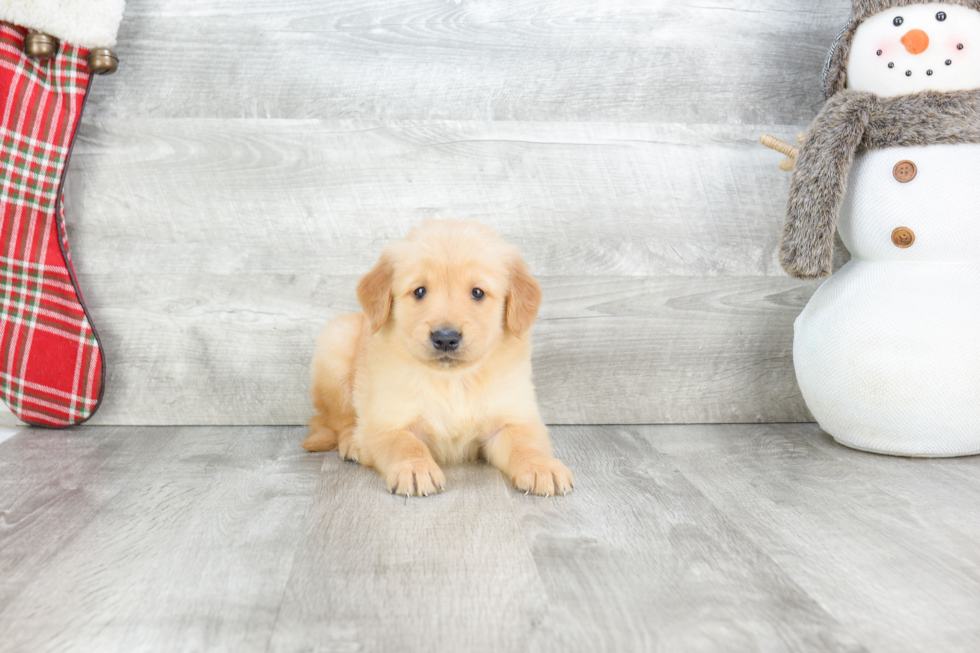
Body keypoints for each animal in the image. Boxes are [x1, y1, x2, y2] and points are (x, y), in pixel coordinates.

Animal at [302, 216, 572, 496]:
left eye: (477, 292)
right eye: (419, 291)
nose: (445, 338)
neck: (454, 380)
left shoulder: (513, 417)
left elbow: (527, 443)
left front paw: (541, 466)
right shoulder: (386, 420)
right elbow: (405, 443)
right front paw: (415, 468)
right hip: (336, 342)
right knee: (336, 420)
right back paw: (353, 443)